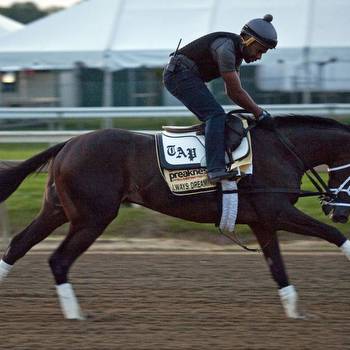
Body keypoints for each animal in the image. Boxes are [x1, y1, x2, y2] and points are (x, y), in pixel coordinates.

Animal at [0, 115, 350, 320]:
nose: (337, 211)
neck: (280, 150)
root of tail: (69, 143)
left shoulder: (262, 221)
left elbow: (277, 267)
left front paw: (294, 313)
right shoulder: (278, 212)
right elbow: (334, 236)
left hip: (57, 210)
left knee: (18, 245)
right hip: (92, 217)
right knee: (58, 259)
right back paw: (76, 316)